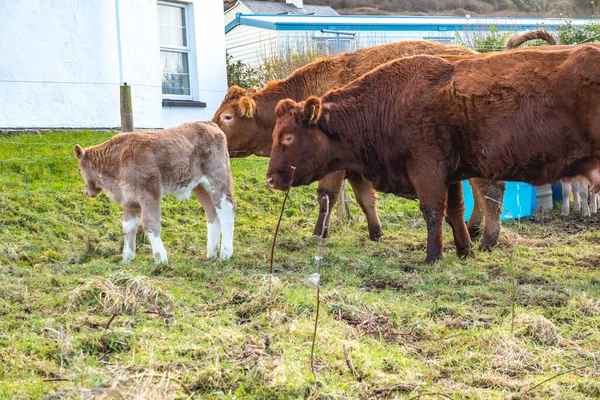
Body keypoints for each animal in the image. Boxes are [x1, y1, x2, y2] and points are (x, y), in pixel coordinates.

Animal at [74, 122, 236, 266]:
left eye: (79, 169)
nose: (87, 191)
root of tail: (210, 124)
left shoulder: (149, 193)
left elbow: (150, 223)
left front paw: (161, 259)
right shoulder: (130, 199)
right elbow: (127, 226)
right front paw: (127, 258)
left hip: (218, 178)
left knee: (226, 208)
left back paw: (225, 254)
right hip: (200, 186)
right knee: (212, 212)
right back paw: (211, 254)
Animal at [268, 46, 600, 262]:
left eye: (287, 137)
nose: (270, 178)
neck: (390, 102)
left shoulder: (427, 170)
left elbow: (432, 211)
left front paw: (433, 255)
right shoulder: (451, 175)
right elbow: (454, 210)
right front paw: (464, 250)